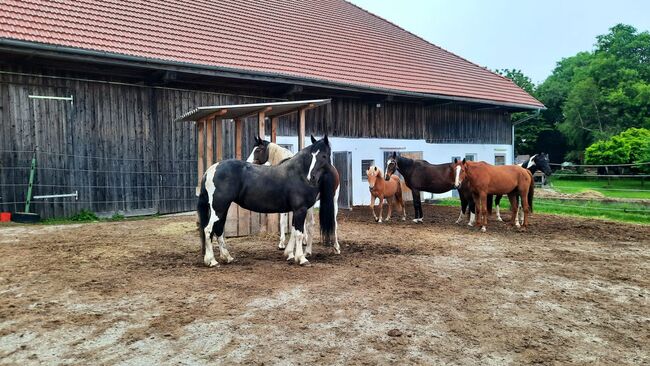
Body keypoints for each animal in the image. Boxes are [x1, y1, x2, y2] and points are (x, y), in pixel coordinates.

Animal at [196, 134, 336, 266]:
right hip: (218, 208)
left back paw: (227, 257)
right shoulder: (300, 209)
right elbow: (299, 233)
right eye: (312, 155)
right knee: (208, 229)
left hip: (222, 209)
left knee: (218, 229)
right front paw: (301, 259)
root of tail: (210, 171)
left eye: (324, 156)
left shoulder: (297, 210)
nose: (311, 177)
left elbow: (294, 231)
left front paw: (290, 254)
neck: (299, 173)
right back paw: (212, 261)